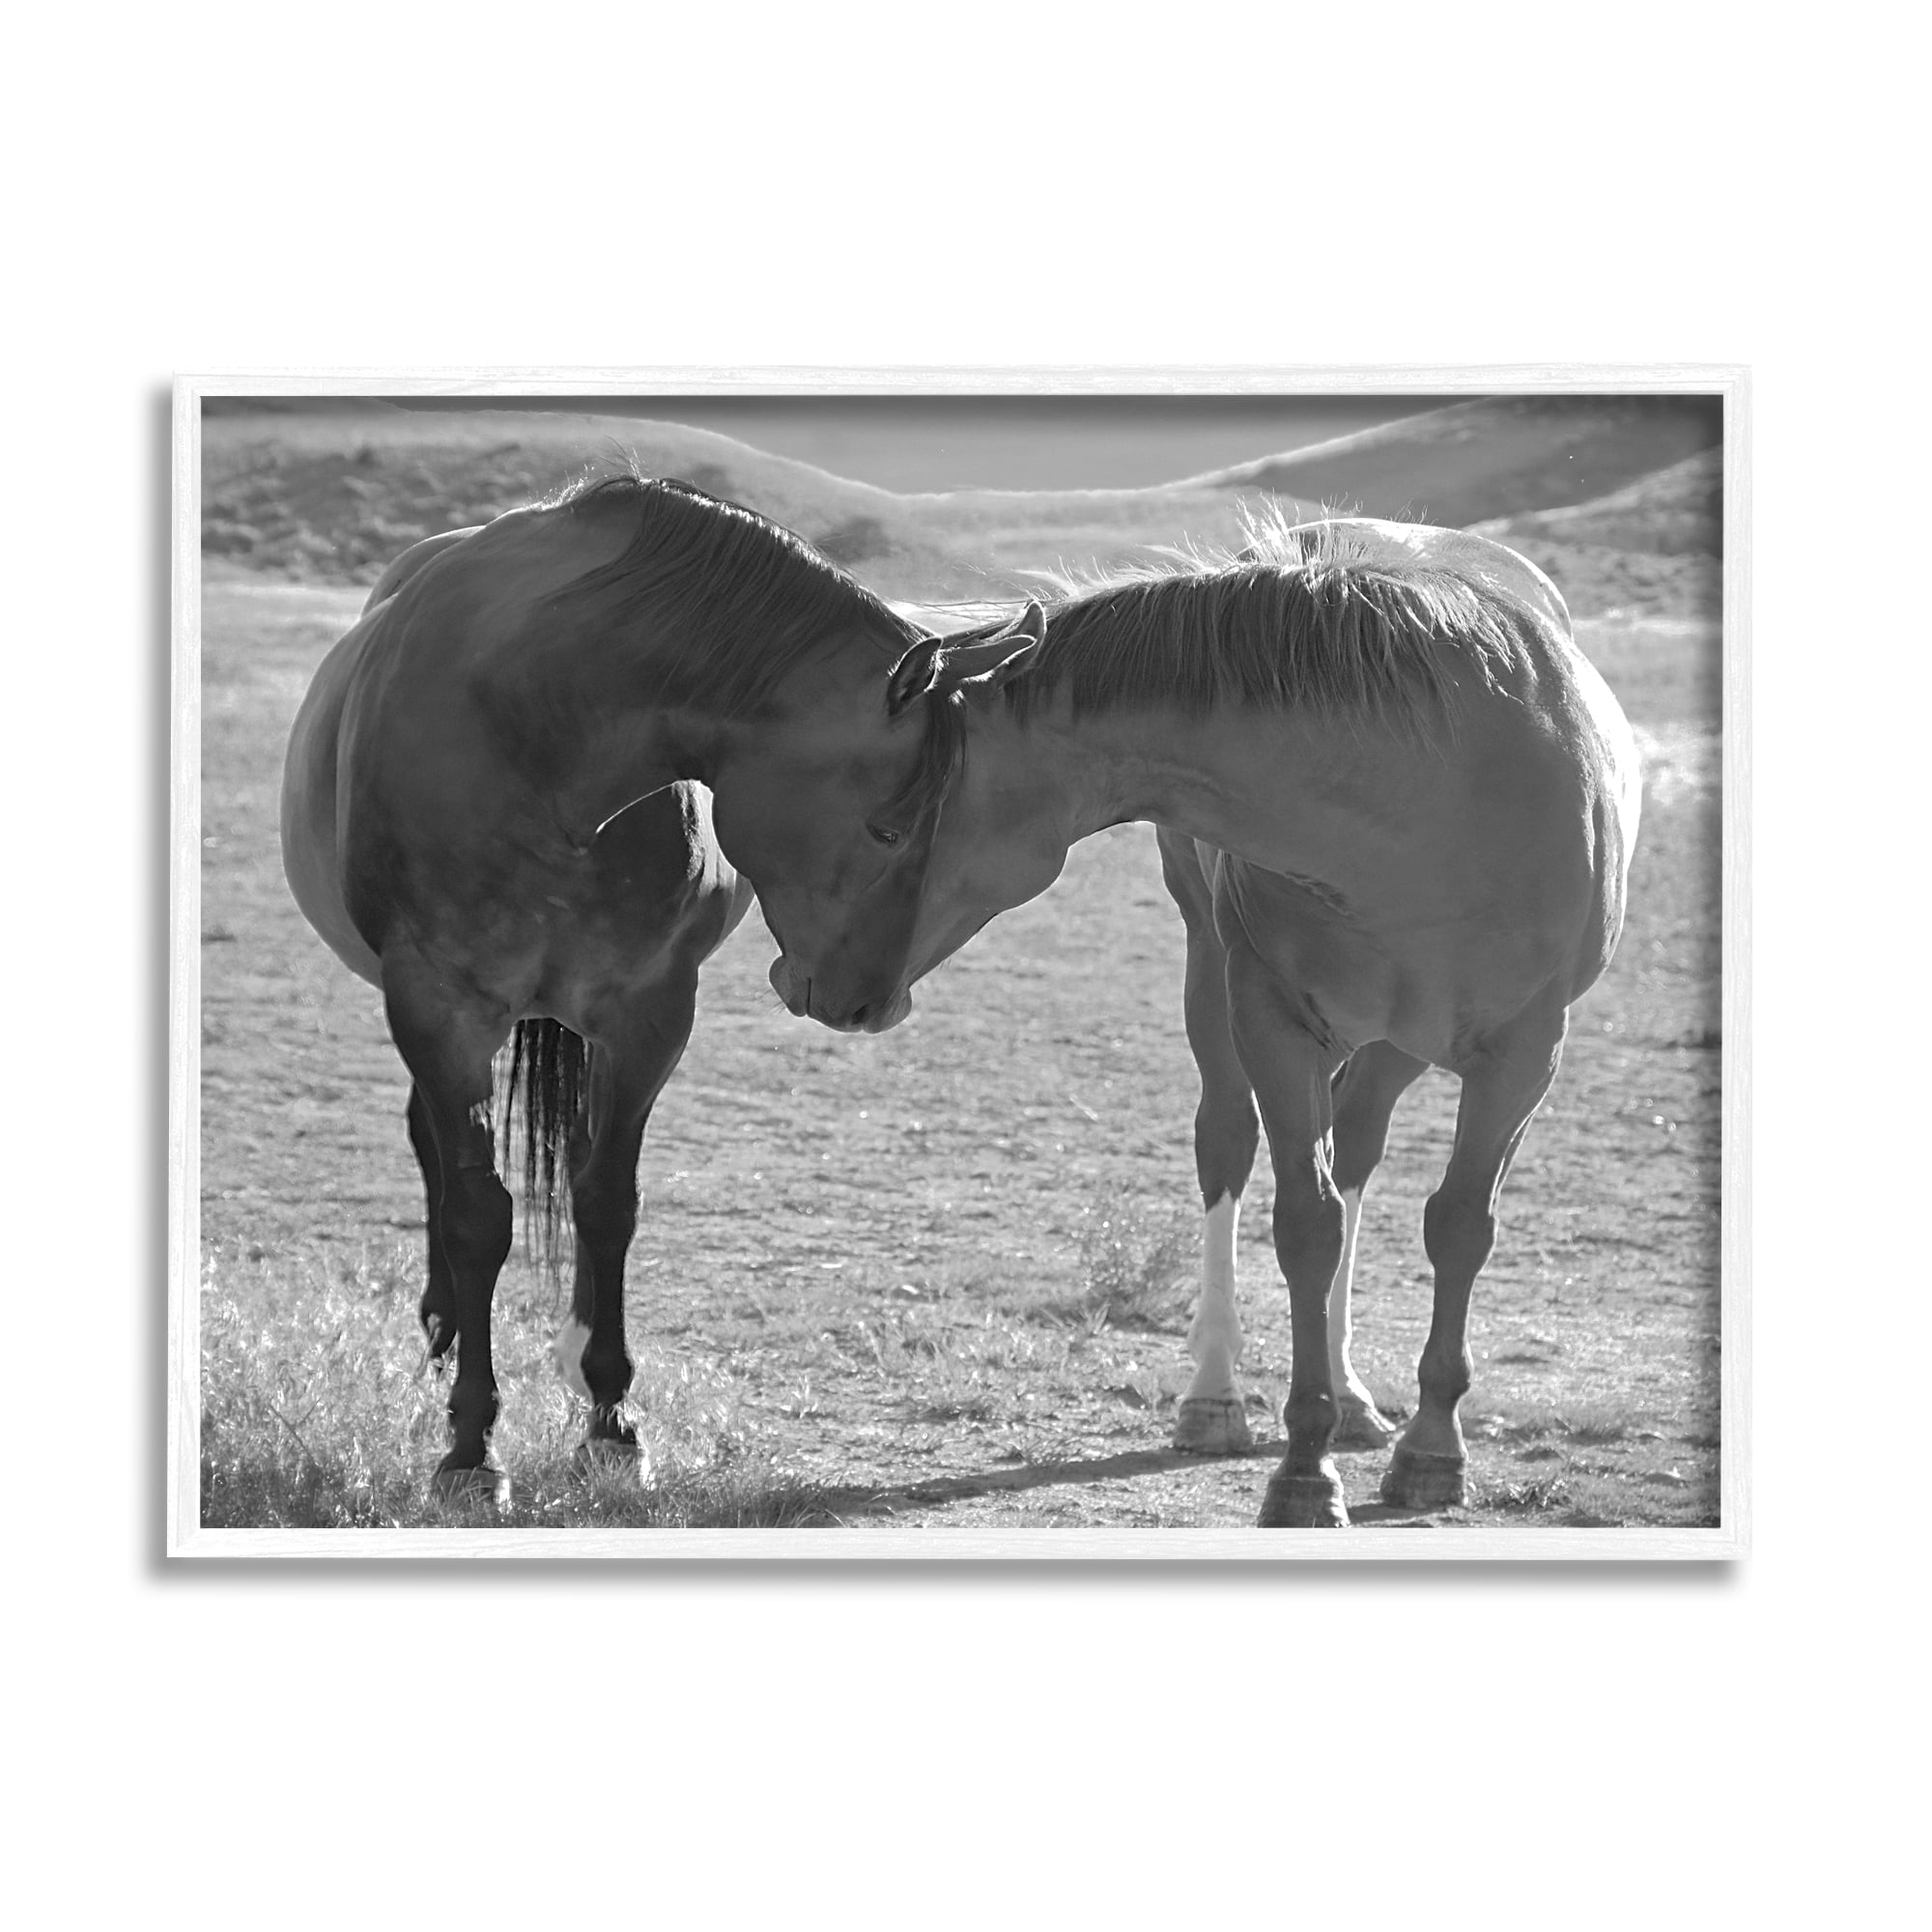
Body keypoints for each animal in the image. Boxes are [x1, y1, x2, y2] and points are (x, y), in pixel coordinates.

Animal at [279, 473, 971, 1500]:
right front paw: (471, 1445)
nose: (875, 1003)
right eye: (888, 827)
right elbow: (479, 1215)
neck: (536, 730)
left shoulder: (647, 1016)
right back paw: (442, 1333)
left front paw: (609, 1421)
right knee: (436, 1158)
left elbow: (607, 1201)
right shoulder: (438, 1009)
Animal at [883, 512, 1641, 1527]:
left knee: (1357, 1147)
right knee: (1227, 1145)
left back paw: (1357, 1395)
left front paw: (1432, 1449)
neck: (1418, 796)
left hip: (1398, 1040)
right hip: (1215, 976)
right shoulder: (1274, 1023)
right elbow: (1305, 1226)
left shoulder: (1525, 1053)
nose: (825, 979)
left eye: (896, 817)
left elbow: (1457, 1227)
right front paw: (1304, 1468)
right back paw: (1215, 1396)